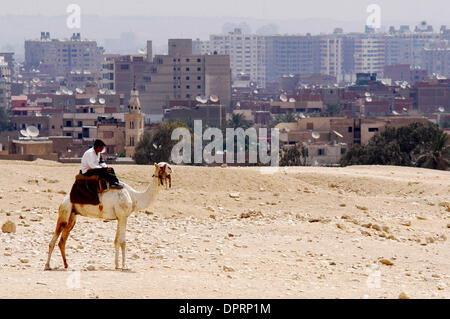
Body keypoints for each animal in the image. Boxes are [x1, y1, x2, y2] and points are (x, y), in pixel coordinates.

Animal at [44, 164, 172, 272]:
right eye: (163, 166)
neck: (134, 197)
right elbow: (123, 241)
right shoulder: (123, 216)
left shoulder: (120, 217)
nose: (172, 169)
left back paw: (66, 265)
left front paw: (117, 265)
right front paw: (124, 266)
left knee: (62, 241)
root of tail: (64, 199)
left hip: (72, 216)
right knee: (54, 239)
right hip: (65, 210)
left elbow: (116, 241)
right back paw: (47, 266)